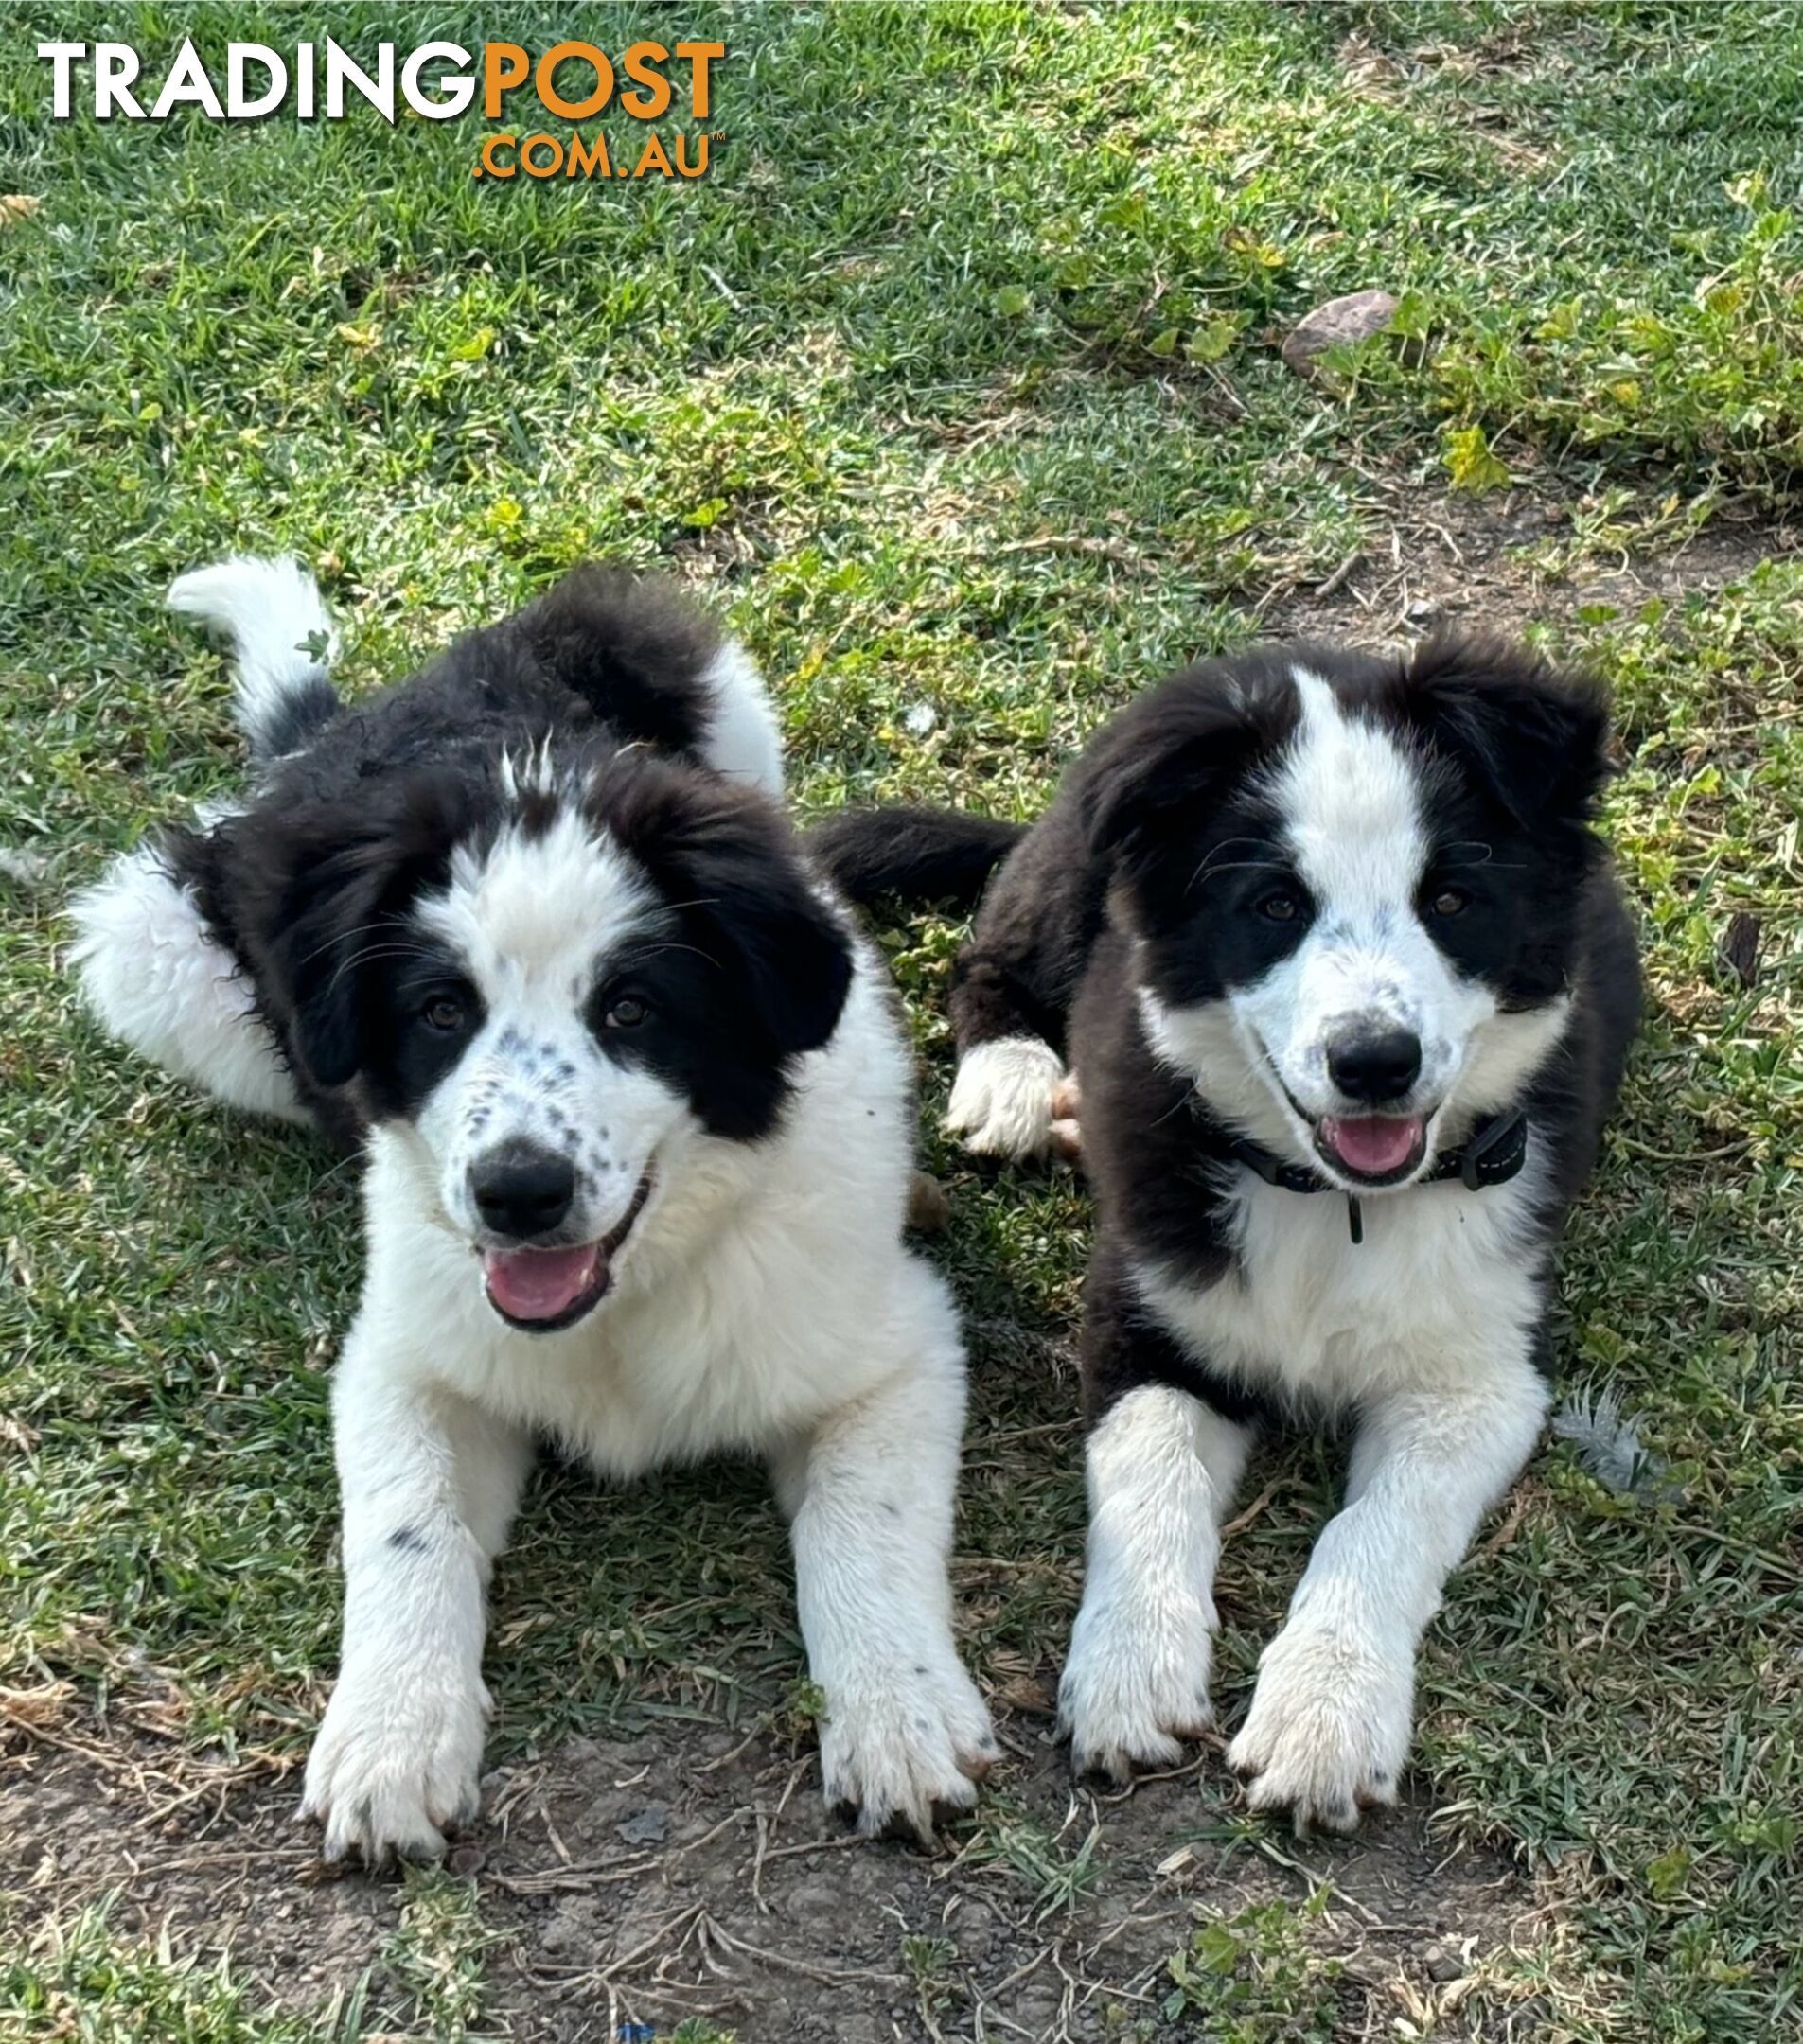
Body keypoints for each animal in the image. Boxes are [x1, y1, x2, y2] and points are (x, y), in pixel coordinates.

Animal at [73, 559, 998, 1856]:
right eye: (440, 1013)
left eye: (632, 1010)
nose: (516, 1196)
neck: (636, 1294)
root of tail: (343, 730)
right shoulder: (407, 1358)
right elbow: (405, 1527)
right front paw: (391, 1737)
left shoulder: (896, 1348)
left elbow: (867, 1517)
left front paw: (898, 1713)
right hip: (160, 963)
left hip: (703, 688)